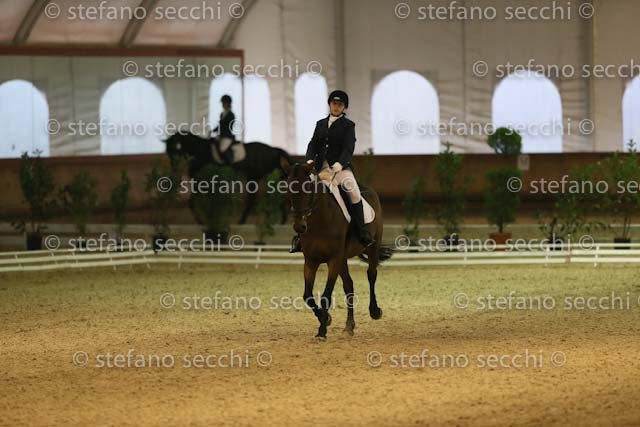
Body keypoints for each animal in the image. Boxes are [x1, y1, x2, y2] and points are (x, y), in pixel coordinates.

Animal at [280, 158, 393, 339]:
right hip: (343, 259)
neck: (319, 220)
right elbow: (307, 295)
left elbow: (326, 296)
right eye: (288, 190)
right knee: (349, 285)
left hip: (372, 249)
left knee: (371, 275)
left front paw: (322, 331)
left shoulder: (333, 259)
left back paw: (375, 311)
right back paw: (349, 326)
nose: (300, 227)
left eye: (308, 189)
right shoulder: (311, 261)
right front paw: (326, 319)